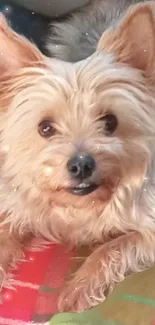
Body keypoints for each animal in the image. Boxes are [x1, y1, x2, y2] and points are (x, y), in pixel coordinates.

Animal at [0, 1, 155, 312]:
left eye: (110, 122)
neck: (80, 206)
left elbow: (114, 246)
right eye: (45, 127)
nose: (82, 164)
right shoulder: (18, 205)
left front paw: (80, 287)